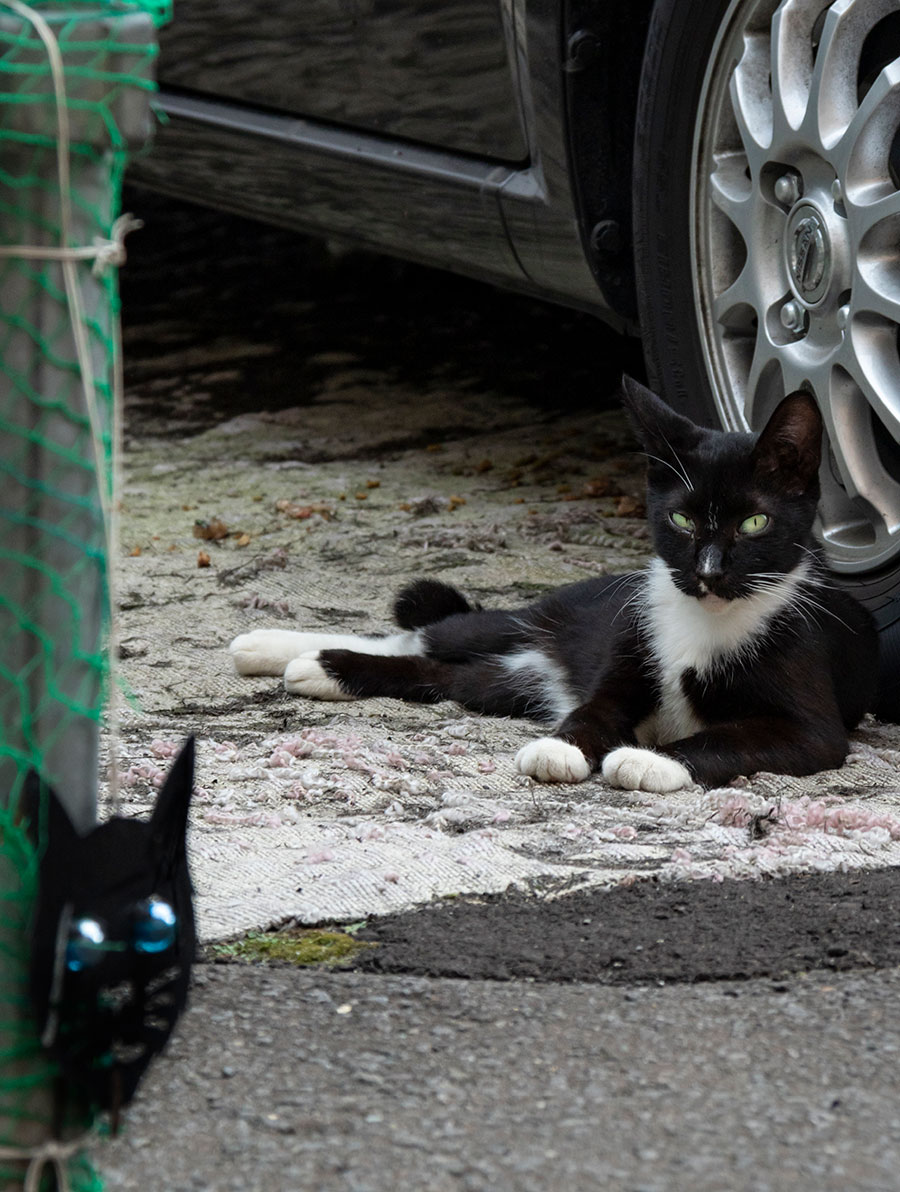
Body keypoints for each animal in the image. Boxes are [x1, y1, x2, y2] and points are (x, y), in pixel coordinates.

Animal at [228, 379, 877, 791]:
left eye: (754, 523)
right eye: (681, 520)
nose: (709, 570)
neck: (707, 621)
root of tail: (533, 657)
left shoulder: (813, 726)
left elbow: (733, 739)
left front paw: (650, 762)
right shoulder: (631, 650)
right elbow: (596, 708)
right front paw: (562, 748)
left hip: (504, 683)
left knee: (438, 674)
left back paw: (317, 668)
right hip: (537, 621)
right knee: (431, 635)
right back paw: (272, 647)